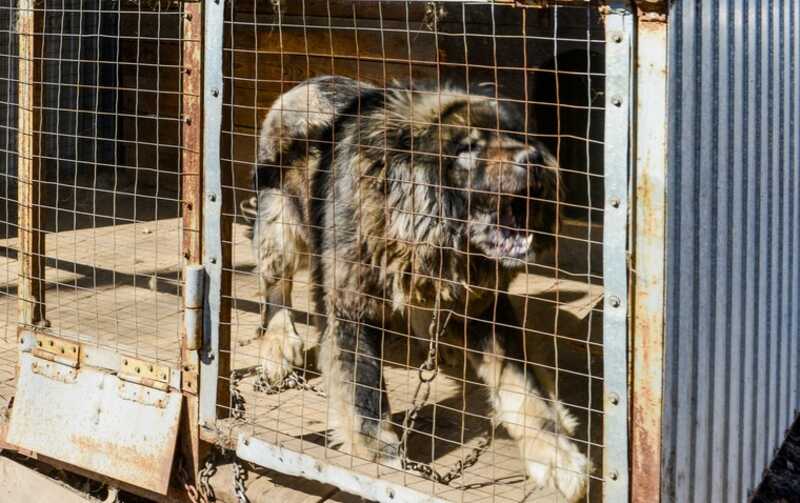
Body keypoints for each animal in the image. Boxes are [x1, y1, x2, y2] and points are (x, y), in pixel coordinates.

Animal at [247, 77, 592, 502]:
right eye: (468, 148)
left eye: (516, 137)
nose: (533, 159)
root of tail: (307, 83)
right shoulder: (349, 304)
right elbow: (364, 390)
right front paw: (381, 458)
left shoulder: (485, 306)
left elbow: (523, 388)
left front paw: (556, 456)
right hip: (281, 225)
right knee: (275, 290)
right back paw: (278, 345)